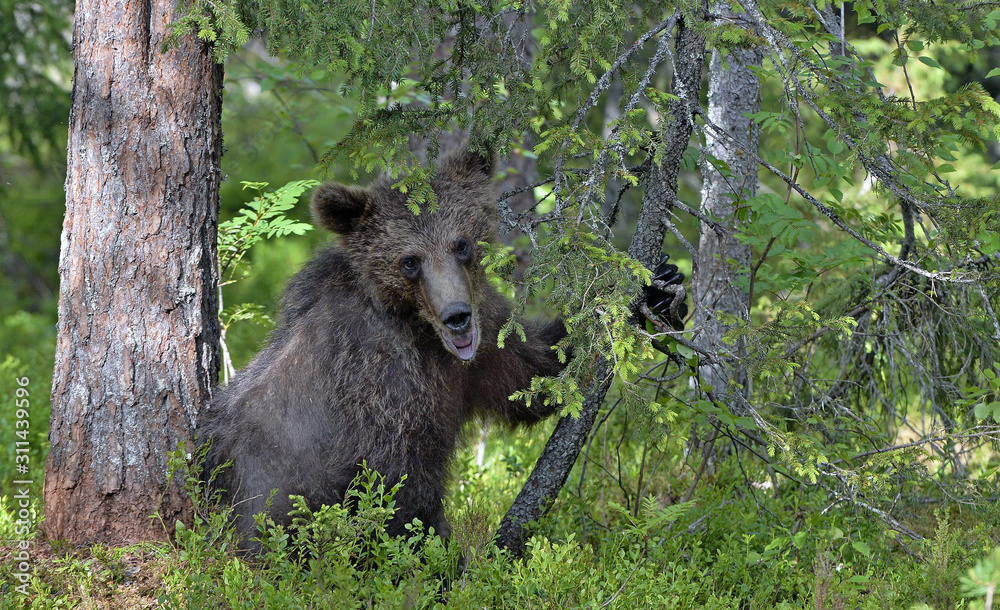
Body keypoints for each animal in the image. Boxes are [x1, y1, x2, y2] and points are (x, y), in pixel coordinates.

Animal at [197, 148, 566, 549]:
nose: (456, 316)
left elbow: (527, 375)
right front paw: (436, 550)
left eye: (461, 244)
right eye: (410, 261)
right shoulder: (378, 385)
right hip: (270, 488)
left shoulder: (482, 345)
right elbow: (402, 486)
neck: (421, 333)